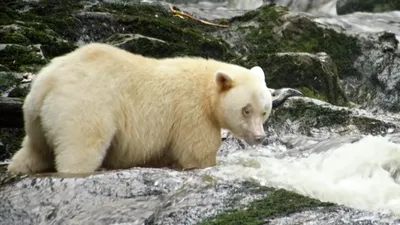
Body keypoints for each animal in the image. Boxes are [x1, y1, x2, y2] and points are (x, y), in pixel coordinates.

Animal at [7, 43, 272, 175]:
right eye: (246, 110)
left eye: (265, 111)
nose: (260, 137)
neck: (208, 91)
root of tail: (48, 81)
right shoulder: (191, 113)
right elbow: (197, 152)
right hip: (84, 107)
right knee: (81, 147)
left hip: (37, 118)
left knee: (34, 150)